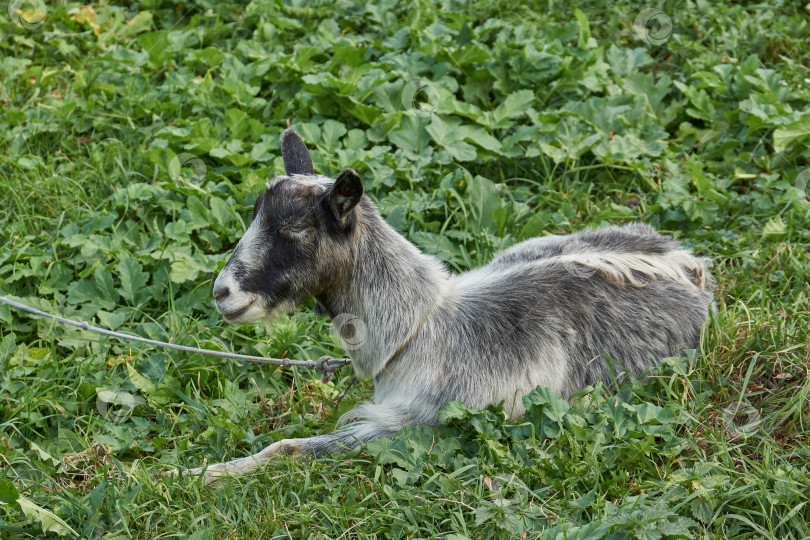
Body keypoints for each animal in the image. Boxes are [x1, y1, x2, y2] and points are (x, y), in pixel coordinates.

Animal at [181, 129, 708, 484]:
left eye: (295, 227)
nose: (222, 292)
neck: (419, 328)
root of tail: (692, 265)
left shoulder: (413, 425)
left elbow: (288, 448)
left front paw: (196, 476)